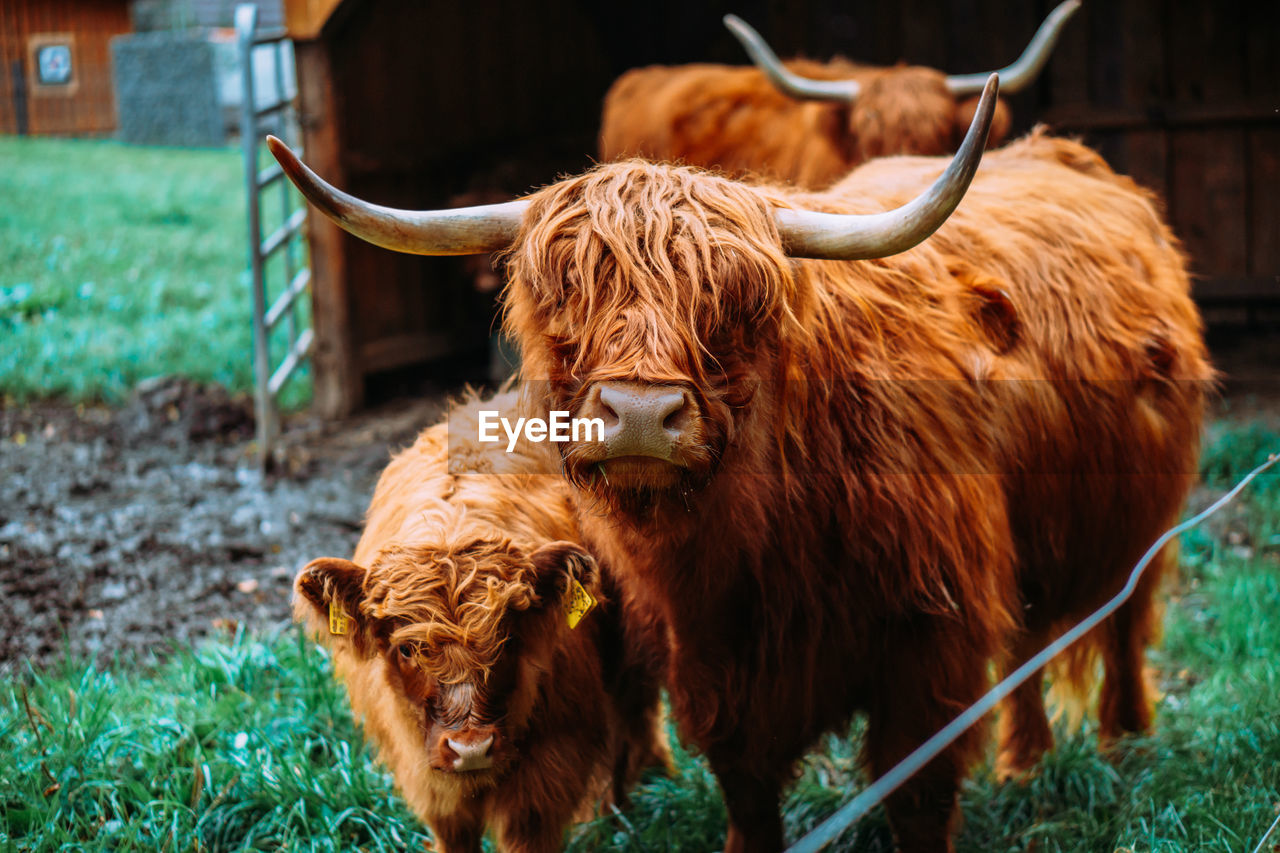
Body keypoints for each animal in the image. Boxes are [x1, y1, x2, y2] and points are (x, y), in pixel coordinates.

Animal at [291, 394, 670, 850]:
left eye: (508, 639)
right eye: (407, 648)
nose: (470, 749)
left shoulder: (545, 780)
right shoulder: (433, 791)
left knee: (635, 718)